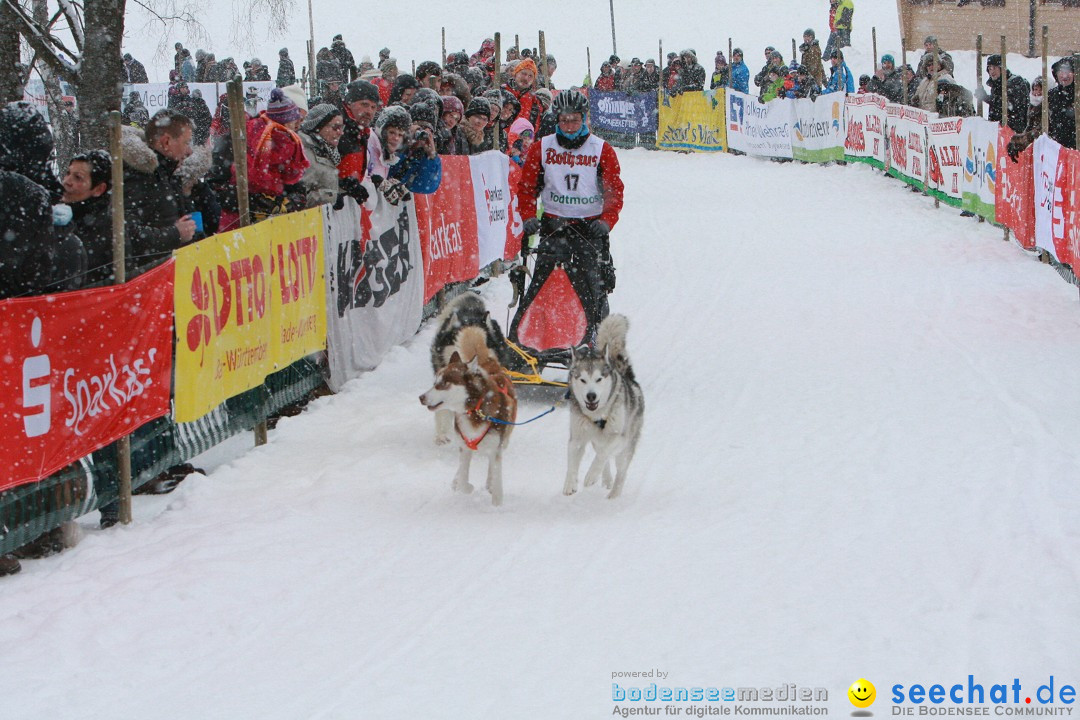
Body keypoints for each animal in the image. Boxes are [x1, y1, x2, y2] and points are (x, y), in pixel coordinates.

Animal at [419, 325, 516, 507]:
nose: (421, 397)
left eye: (444, 384)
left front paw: (496, 503)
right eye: (434, 383)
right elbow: (463, 479)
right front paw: (465, 486)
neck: (474, 409)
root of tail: (490, 364)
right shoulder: (465, 446)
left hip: (504, 439)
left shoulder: (495, 448)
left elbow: (496, 476)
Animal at [565, 315, 639, 500]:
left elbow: (603, 454)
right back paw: (606, 480)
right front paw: (570, 483)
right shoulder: (577, 438)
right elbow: (572, 460)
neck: (597, 416)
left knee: (621, 471)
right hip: (595, 441)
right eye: (582, 379)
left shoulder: (619, 437)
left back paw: (614, 495)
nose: (591, 396)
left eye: (599, 379)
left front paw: (591, 475)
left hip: (625, 449)